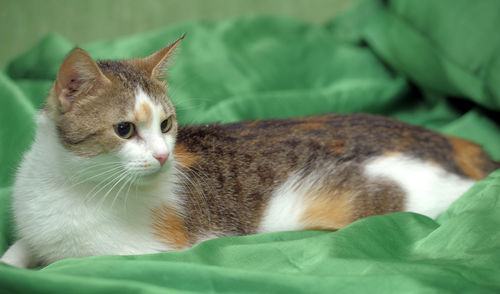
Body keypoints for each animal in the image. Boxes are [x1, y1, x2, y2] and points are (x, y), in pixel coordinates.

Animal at [0, 35, 500, 268]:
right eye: (124, 129)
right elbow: (21, 251)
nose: (163, 156)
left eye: (165, 125)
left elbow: (73, 258)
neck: (72, 179)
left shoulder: (136, 250)